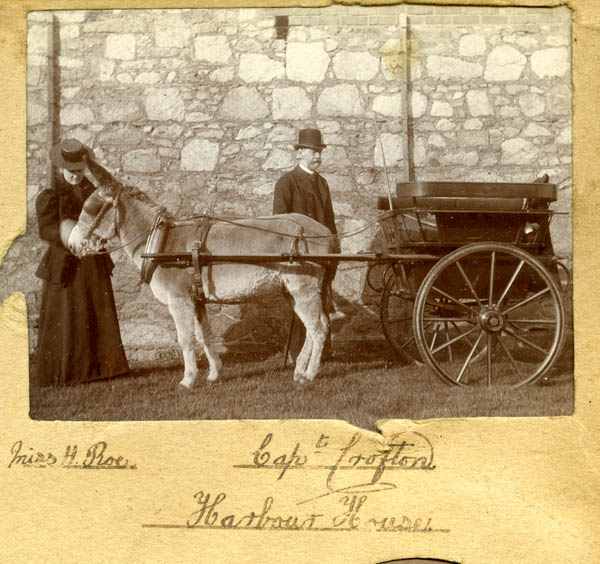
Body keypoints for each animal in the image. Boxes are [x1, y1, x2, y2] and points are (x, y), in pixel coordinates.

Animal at [68, 158, 335, 388]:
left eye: (90, 209)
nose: (71, 245)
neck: (161, 242)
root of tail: (324, 231)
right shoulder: (196, 300)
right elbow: (204, 335)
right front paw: (214, 374)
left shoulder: (179, 300)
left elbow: (186, 339)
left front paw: (188, 380)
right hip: (293, 291)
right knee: (313, 327)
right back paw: (300, 370)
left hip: (303, 288)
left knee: (318, 328)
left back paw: (309, 374)